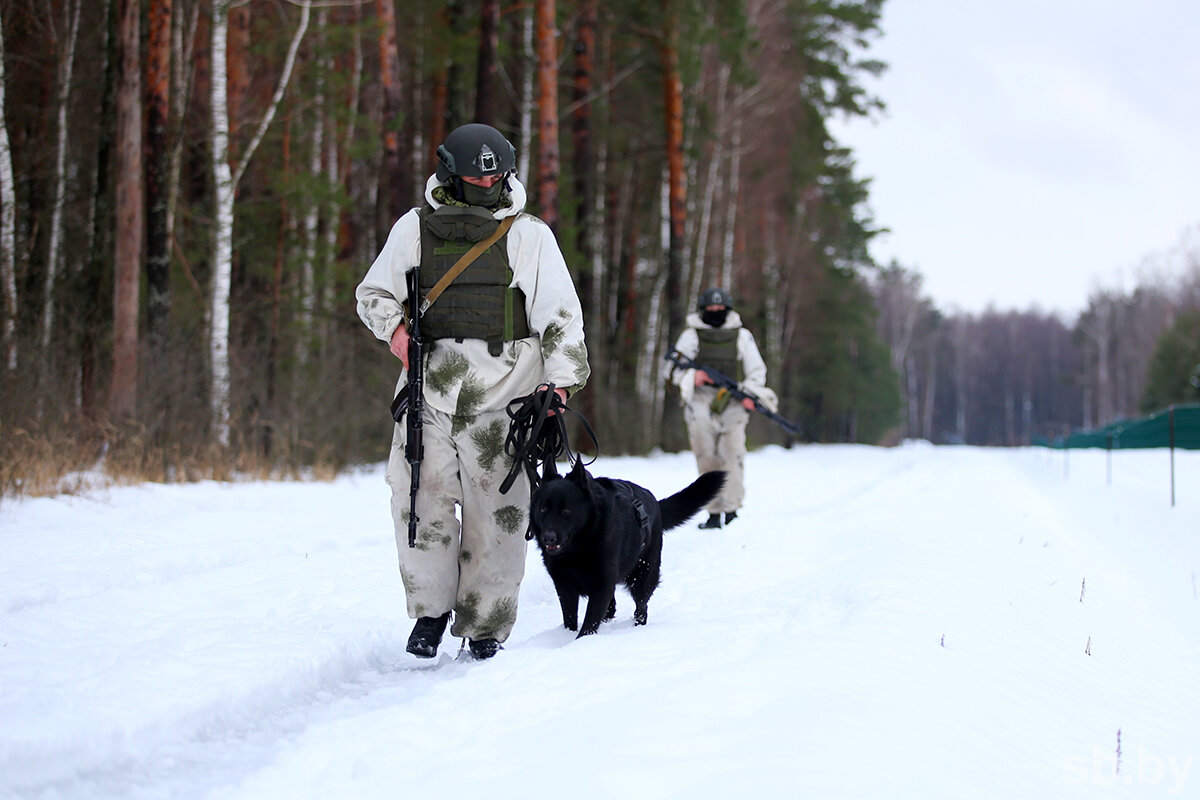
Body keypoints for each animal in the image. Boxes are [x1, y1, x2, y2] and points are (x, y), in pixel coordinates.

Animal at [532, 462, 720, 638]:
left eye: (566, 511)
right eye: (543, 509)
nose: (548, 537)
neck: (578, 549)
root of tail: (654, 502)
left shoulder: (601, 586)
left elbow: (589, 623)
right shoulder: (565, 587)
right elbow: (570, 618)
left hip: (643, 576)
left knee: (641, 607)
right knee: (613, 608)